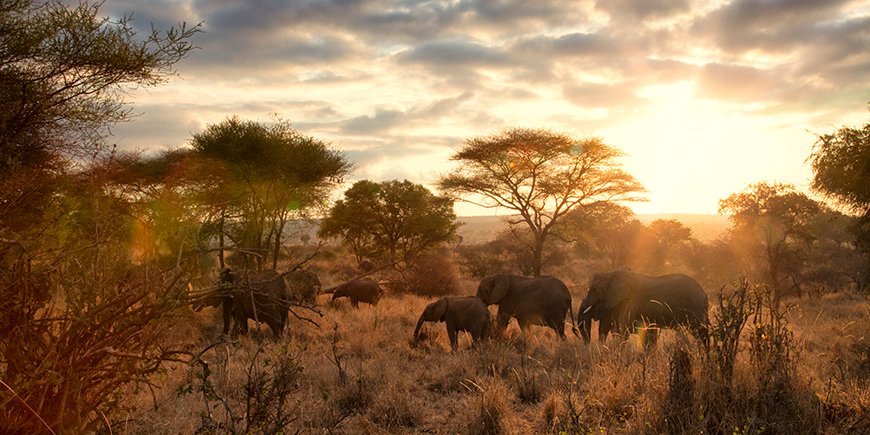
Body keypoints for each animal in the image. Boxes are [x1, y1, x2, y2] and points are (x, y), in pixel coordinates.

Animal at [578, 269, 709, 347]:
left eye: (594, 290)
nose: (586, 344)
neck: (611, 274)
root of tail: (703, 293)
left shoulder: (630, 300)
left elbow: (622, 328)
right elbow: (607, 327)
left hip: (695, 306)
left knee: (700, 331)